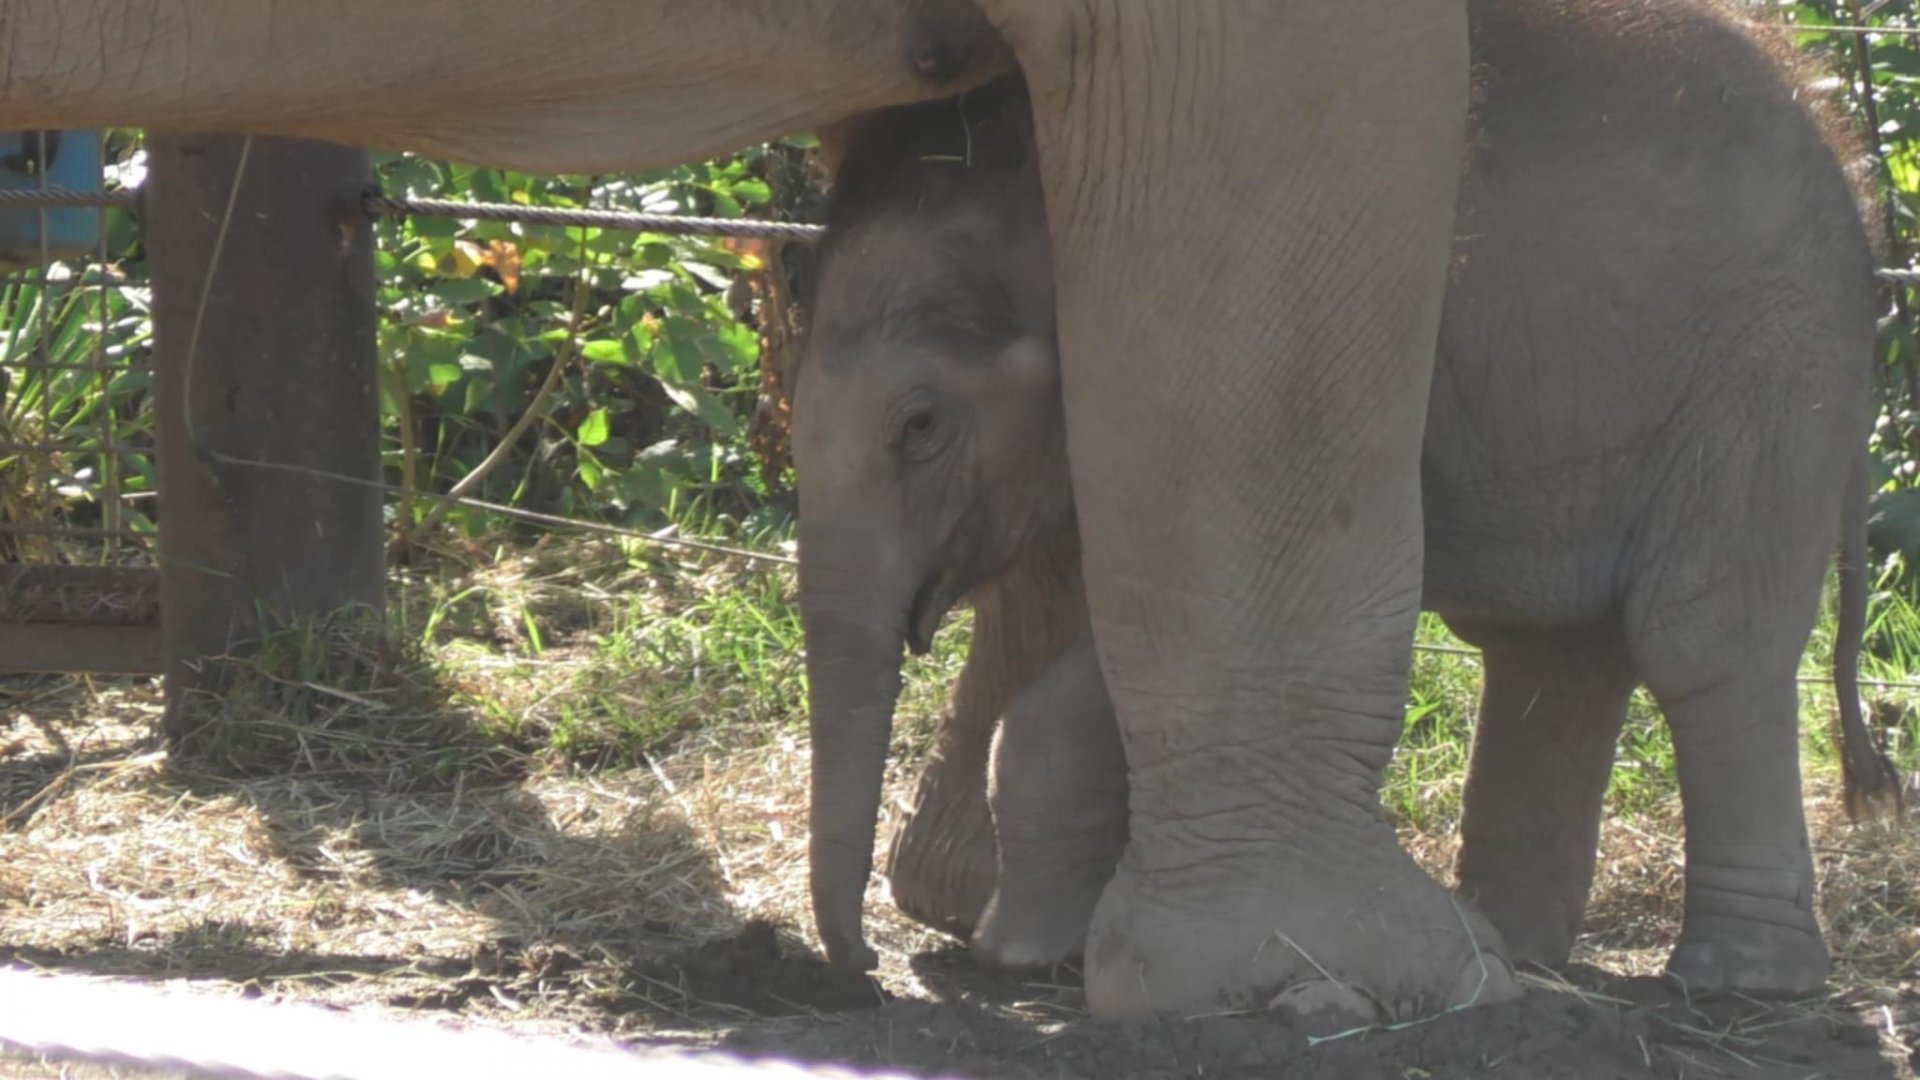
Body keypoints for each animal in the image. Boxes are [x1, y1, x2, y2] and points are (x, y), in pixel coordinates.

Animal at [793, 0, 1893, 998]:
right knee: (1555, 646)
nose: (862, 970)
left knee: (1702, 640)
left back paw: (1738, 983)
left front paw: (1020, 958)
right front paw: (1034, 952)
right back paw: (1513, 947)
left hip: (1770, 375)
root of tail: (1851, 177)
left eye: (919, 427)